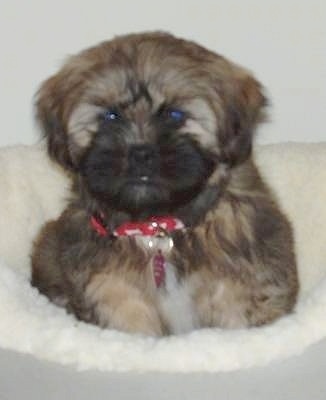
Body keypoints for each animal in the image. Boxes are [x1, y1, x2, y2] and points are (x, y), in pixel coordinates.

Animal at [30, 32, 298, 336]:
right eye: (110, 117)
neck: (158, 228)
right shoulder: (110, 285)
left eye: (174, 115)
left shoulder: (242, 280)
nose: (140, 153)